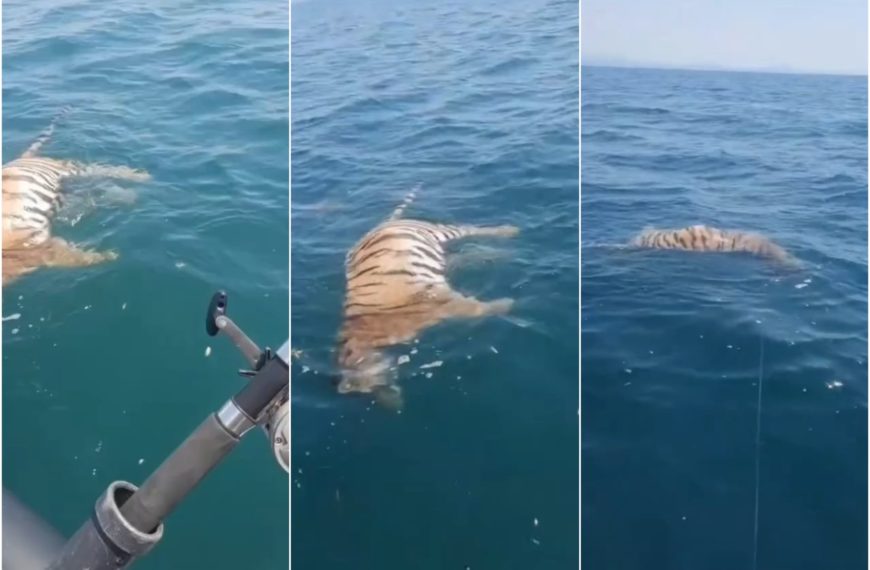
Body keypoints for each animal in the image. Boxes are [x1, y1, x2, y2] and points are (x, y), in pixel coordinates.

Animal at [2, 107, 150, 285]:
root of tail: (21, 158)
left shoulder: (37, 248)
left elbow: (70, 258)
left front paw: (108, 255)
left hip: (68, 170)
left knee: (101, 168)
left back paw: (141, 177)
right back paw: (129, 196)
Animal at [335, 185, 519, 409]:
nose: (393, 403)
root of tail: (381, 225)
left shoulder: (437, 300)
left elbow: (475, 308)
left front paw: (507, 304)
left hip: (438, 231)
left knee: (472, 229)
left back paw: (510, 230)